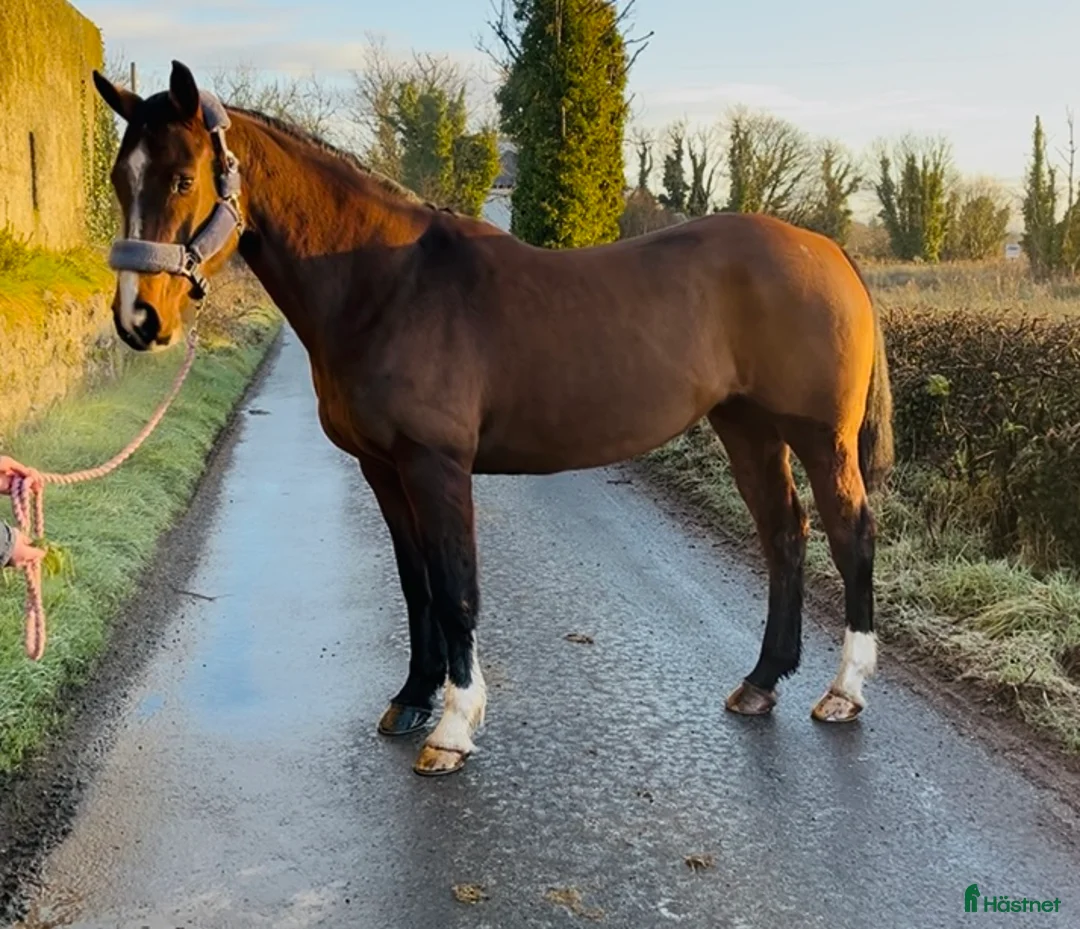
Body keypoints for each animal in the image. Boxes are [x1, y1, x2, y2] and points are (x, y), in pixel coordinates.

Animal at [91, 61, 894, 777]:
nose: (139, 319)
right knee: (785, 533)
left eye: (184, 178)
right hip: (747, 428)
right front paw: (412, 698)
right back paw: (761, 682)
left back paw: (843, 691)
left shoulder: (436, 465)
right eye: (120, 179)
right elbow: (415, 581)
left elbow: (455, 585)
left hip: (819, 438)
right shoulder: (382, 468)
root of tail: (828, 249)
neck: (386, 285)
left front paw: (452, 727)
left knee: (850, 533)